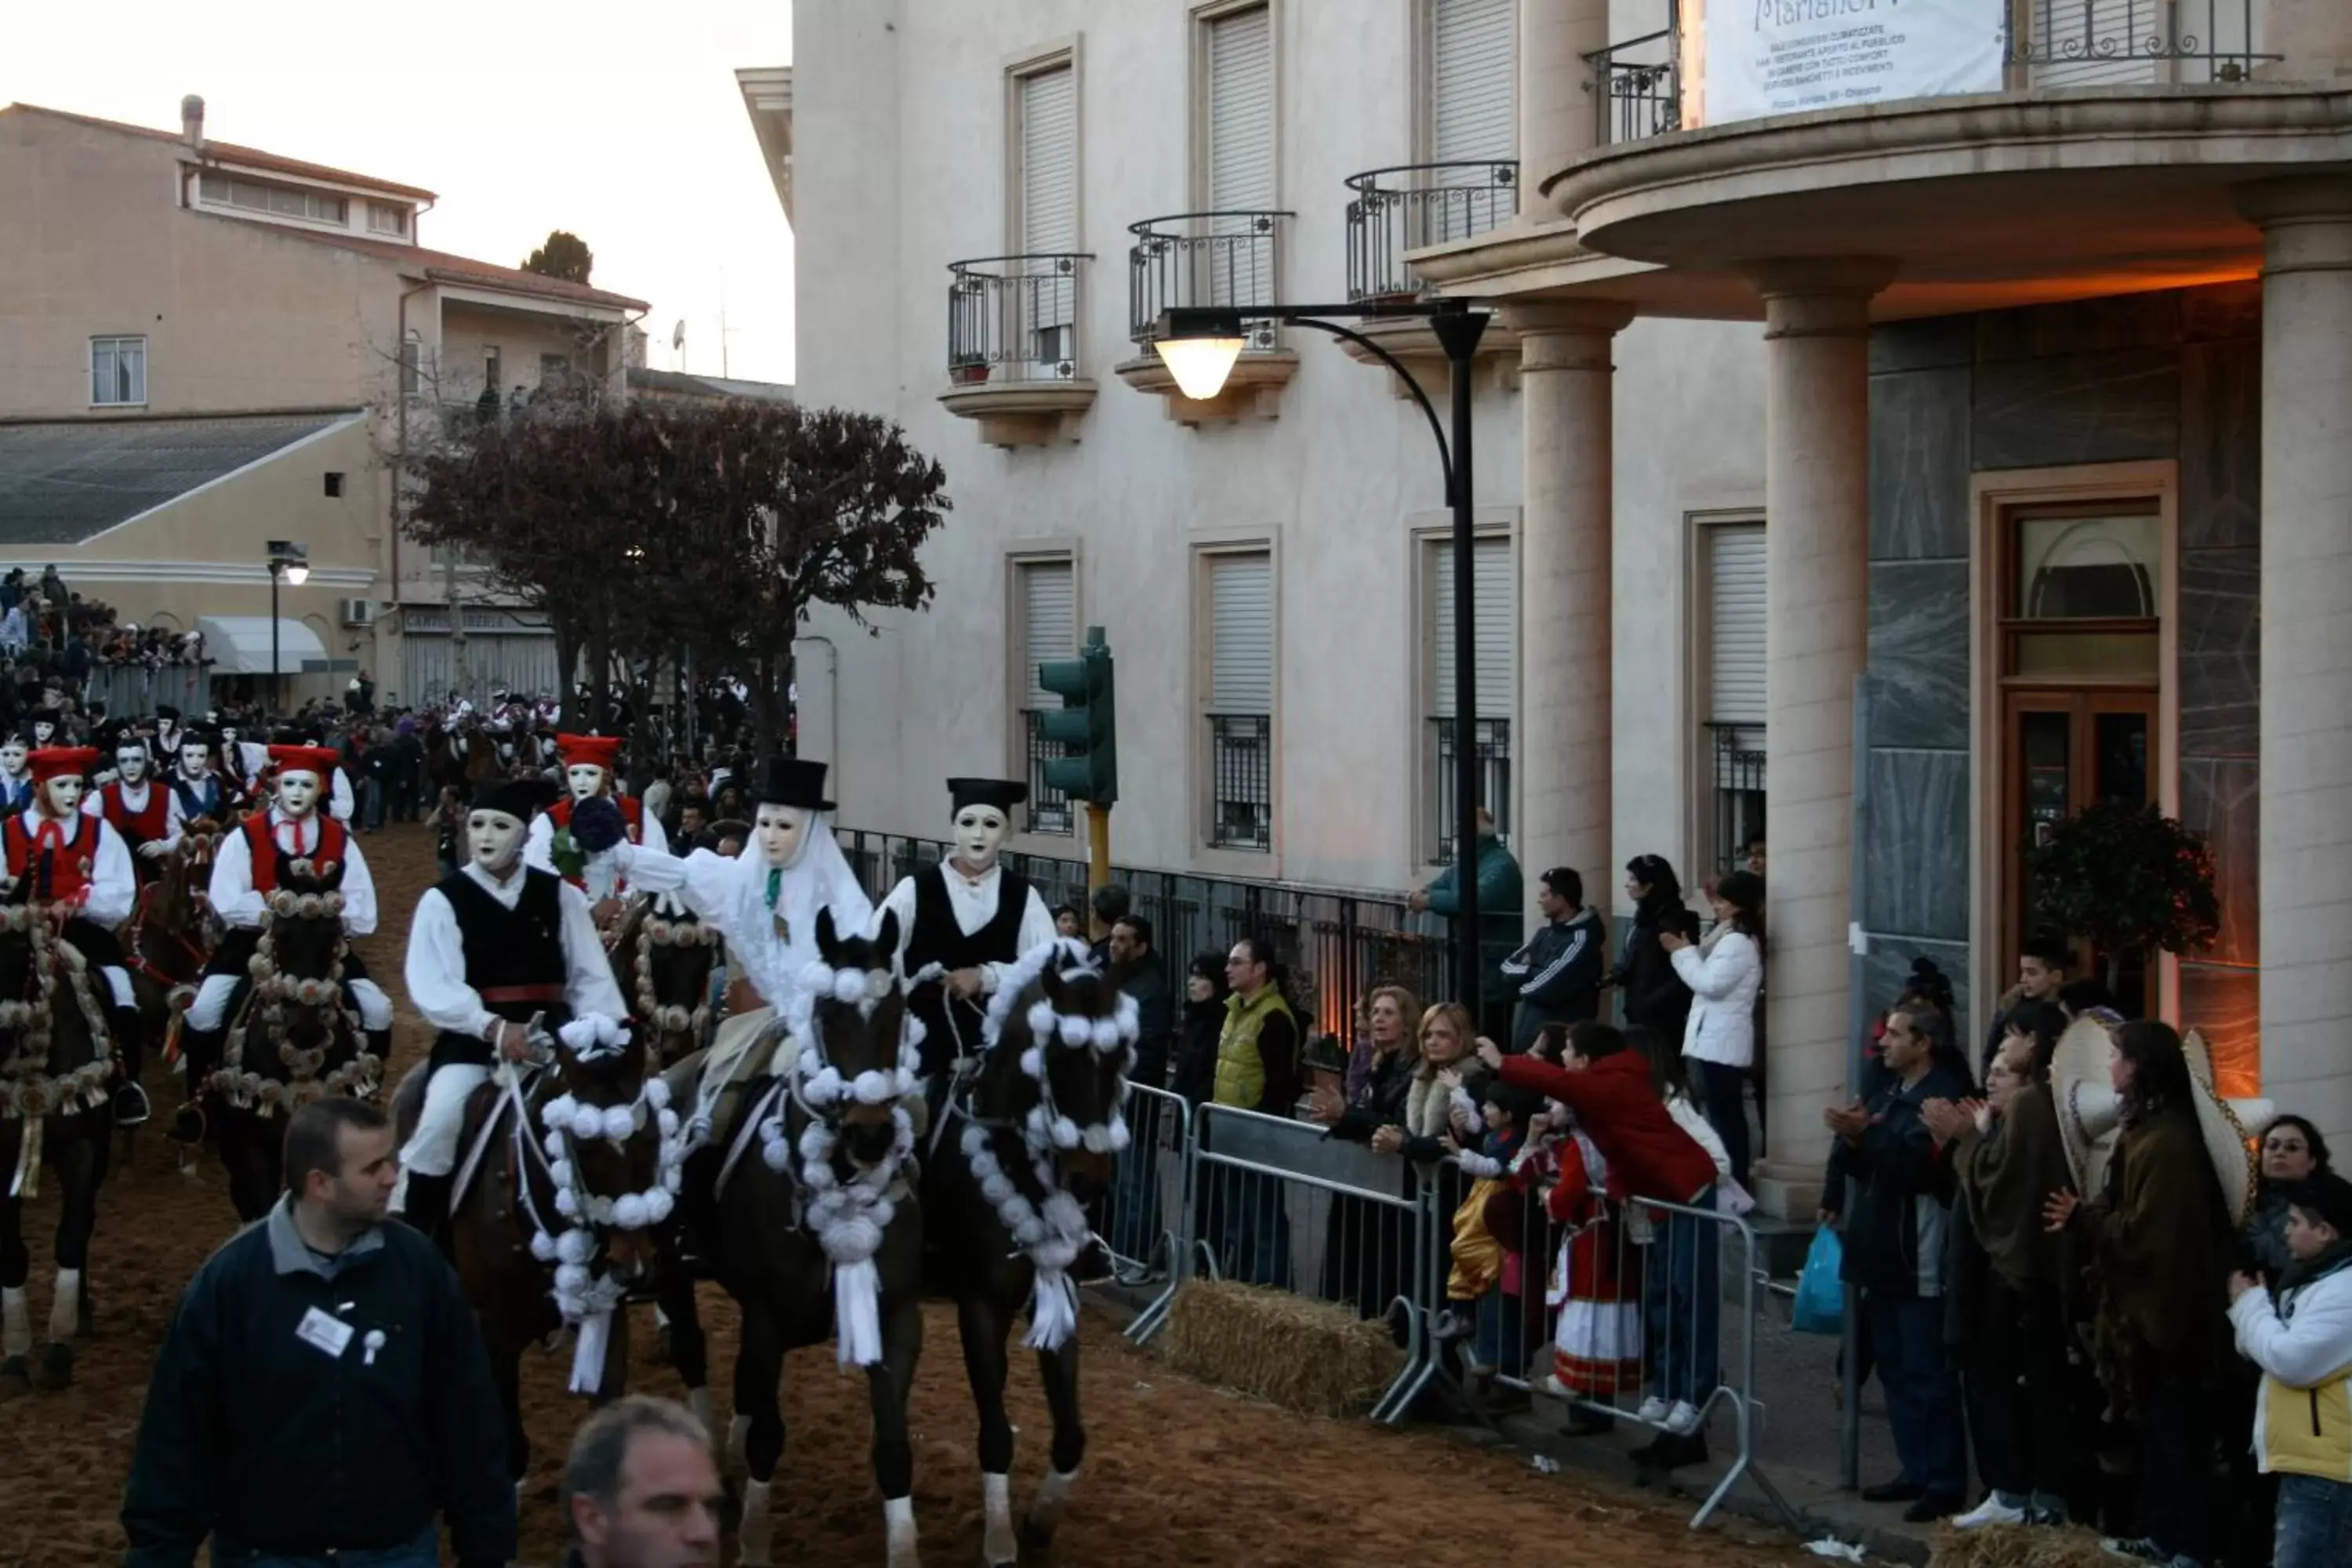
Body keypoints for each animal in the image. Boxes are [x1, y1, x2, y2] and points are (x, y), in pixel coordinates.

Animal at [922, 940, 1134, 1561]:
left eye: (1120, 1058)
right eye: (1058, 1056)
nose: (1088, 1179)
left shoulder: (1056, 1299)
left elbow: (1072, 1435)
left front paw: (1040, 1524)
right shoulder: (979, 1306)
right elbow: (995, 1435)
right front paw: (999, 1542)